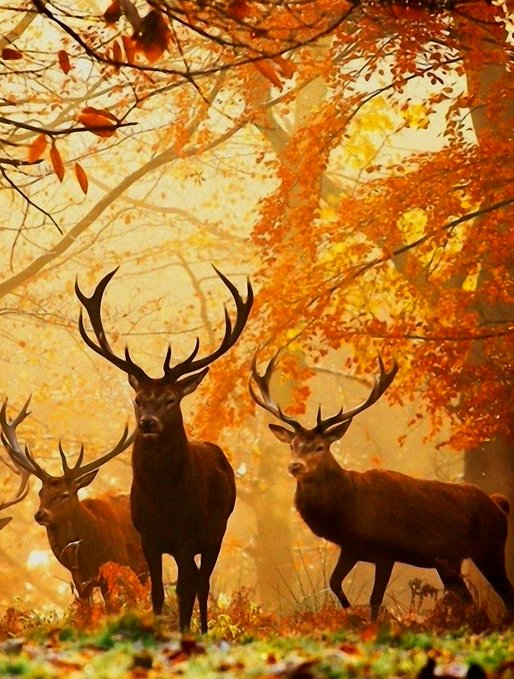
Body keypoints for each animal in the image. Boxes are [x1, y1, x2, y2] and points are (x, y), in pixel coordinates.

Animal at [75, 266, 253, 632]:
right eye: (138, 399)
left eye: (171, 400)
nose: (148, 423)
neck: (164, 501)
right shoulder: (149, 538)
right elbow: (157, 593)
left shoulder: (187, 537)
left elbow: (184, 591)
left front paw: (184, 633)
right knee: (197, 581)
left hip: (217, 531)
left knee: (202, 583)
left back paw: (202, 630)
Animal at [249, 350, 514, 620]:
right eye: (292, 445)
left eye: (320, 447)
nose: (295, 466)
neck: (349, 510)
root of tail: (499, 504)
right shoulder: (351, 548)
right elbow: (334, 583)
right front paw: (351, 613)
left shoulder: (386, 550)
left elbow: (375, 599)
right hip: (450, 561)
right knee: (469, 599)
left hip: (490, 548)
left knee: (506, 594)